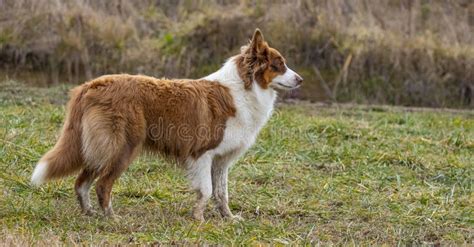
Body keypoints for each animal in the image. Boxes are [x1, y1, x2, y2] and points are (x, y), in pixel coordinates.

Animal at [31, 28, 302, 220]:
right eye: (279, 65)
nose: (300, 79)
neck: (244, 89)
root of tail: (91, 85)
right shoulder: (202, 154)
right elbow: (206, 190)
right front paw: (198, 219)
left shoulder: (221, 160)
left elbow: (221, 192)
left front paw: (228, 218)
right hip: (123, 149)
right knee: (102, 185)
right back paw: (111, 218)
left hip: (99, 149)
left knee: (81, 183)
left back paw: (89, 213)